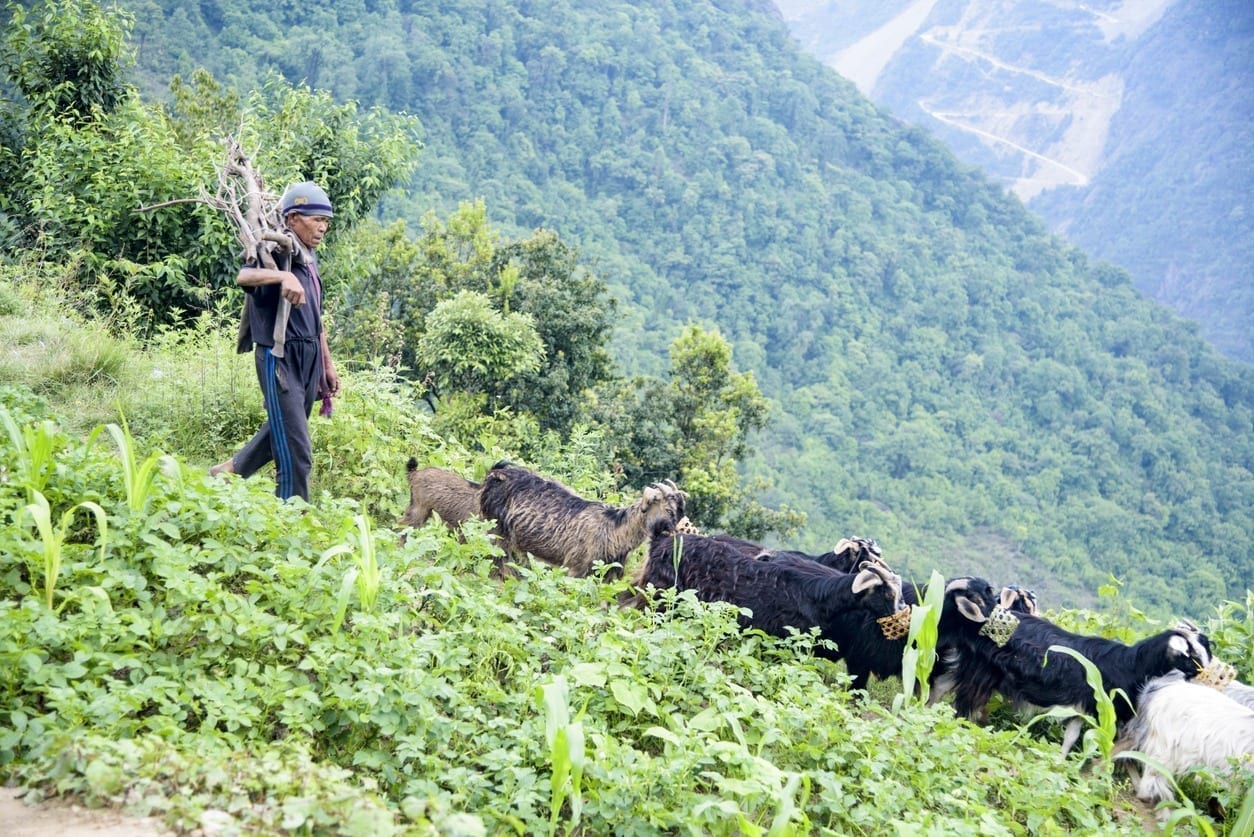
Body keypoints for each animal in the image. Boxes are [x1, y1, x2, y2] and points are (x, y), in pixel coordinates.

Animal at [632, 524, 907, 687]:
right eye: (886, 591)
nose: (903, 613)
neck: (816, 595)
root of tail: (662, 540)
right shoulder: (778, 645)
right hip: (658, 598)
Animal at [943, 612, 1208, 757]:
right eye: (1192, 655)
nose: (1203, 674)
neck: (1129, 664)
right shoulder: (1097, 707)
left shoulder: (1084, 709)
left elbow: (1071, 737)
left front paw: (1059, 761)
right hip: (981, 672)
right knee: (965, 701)